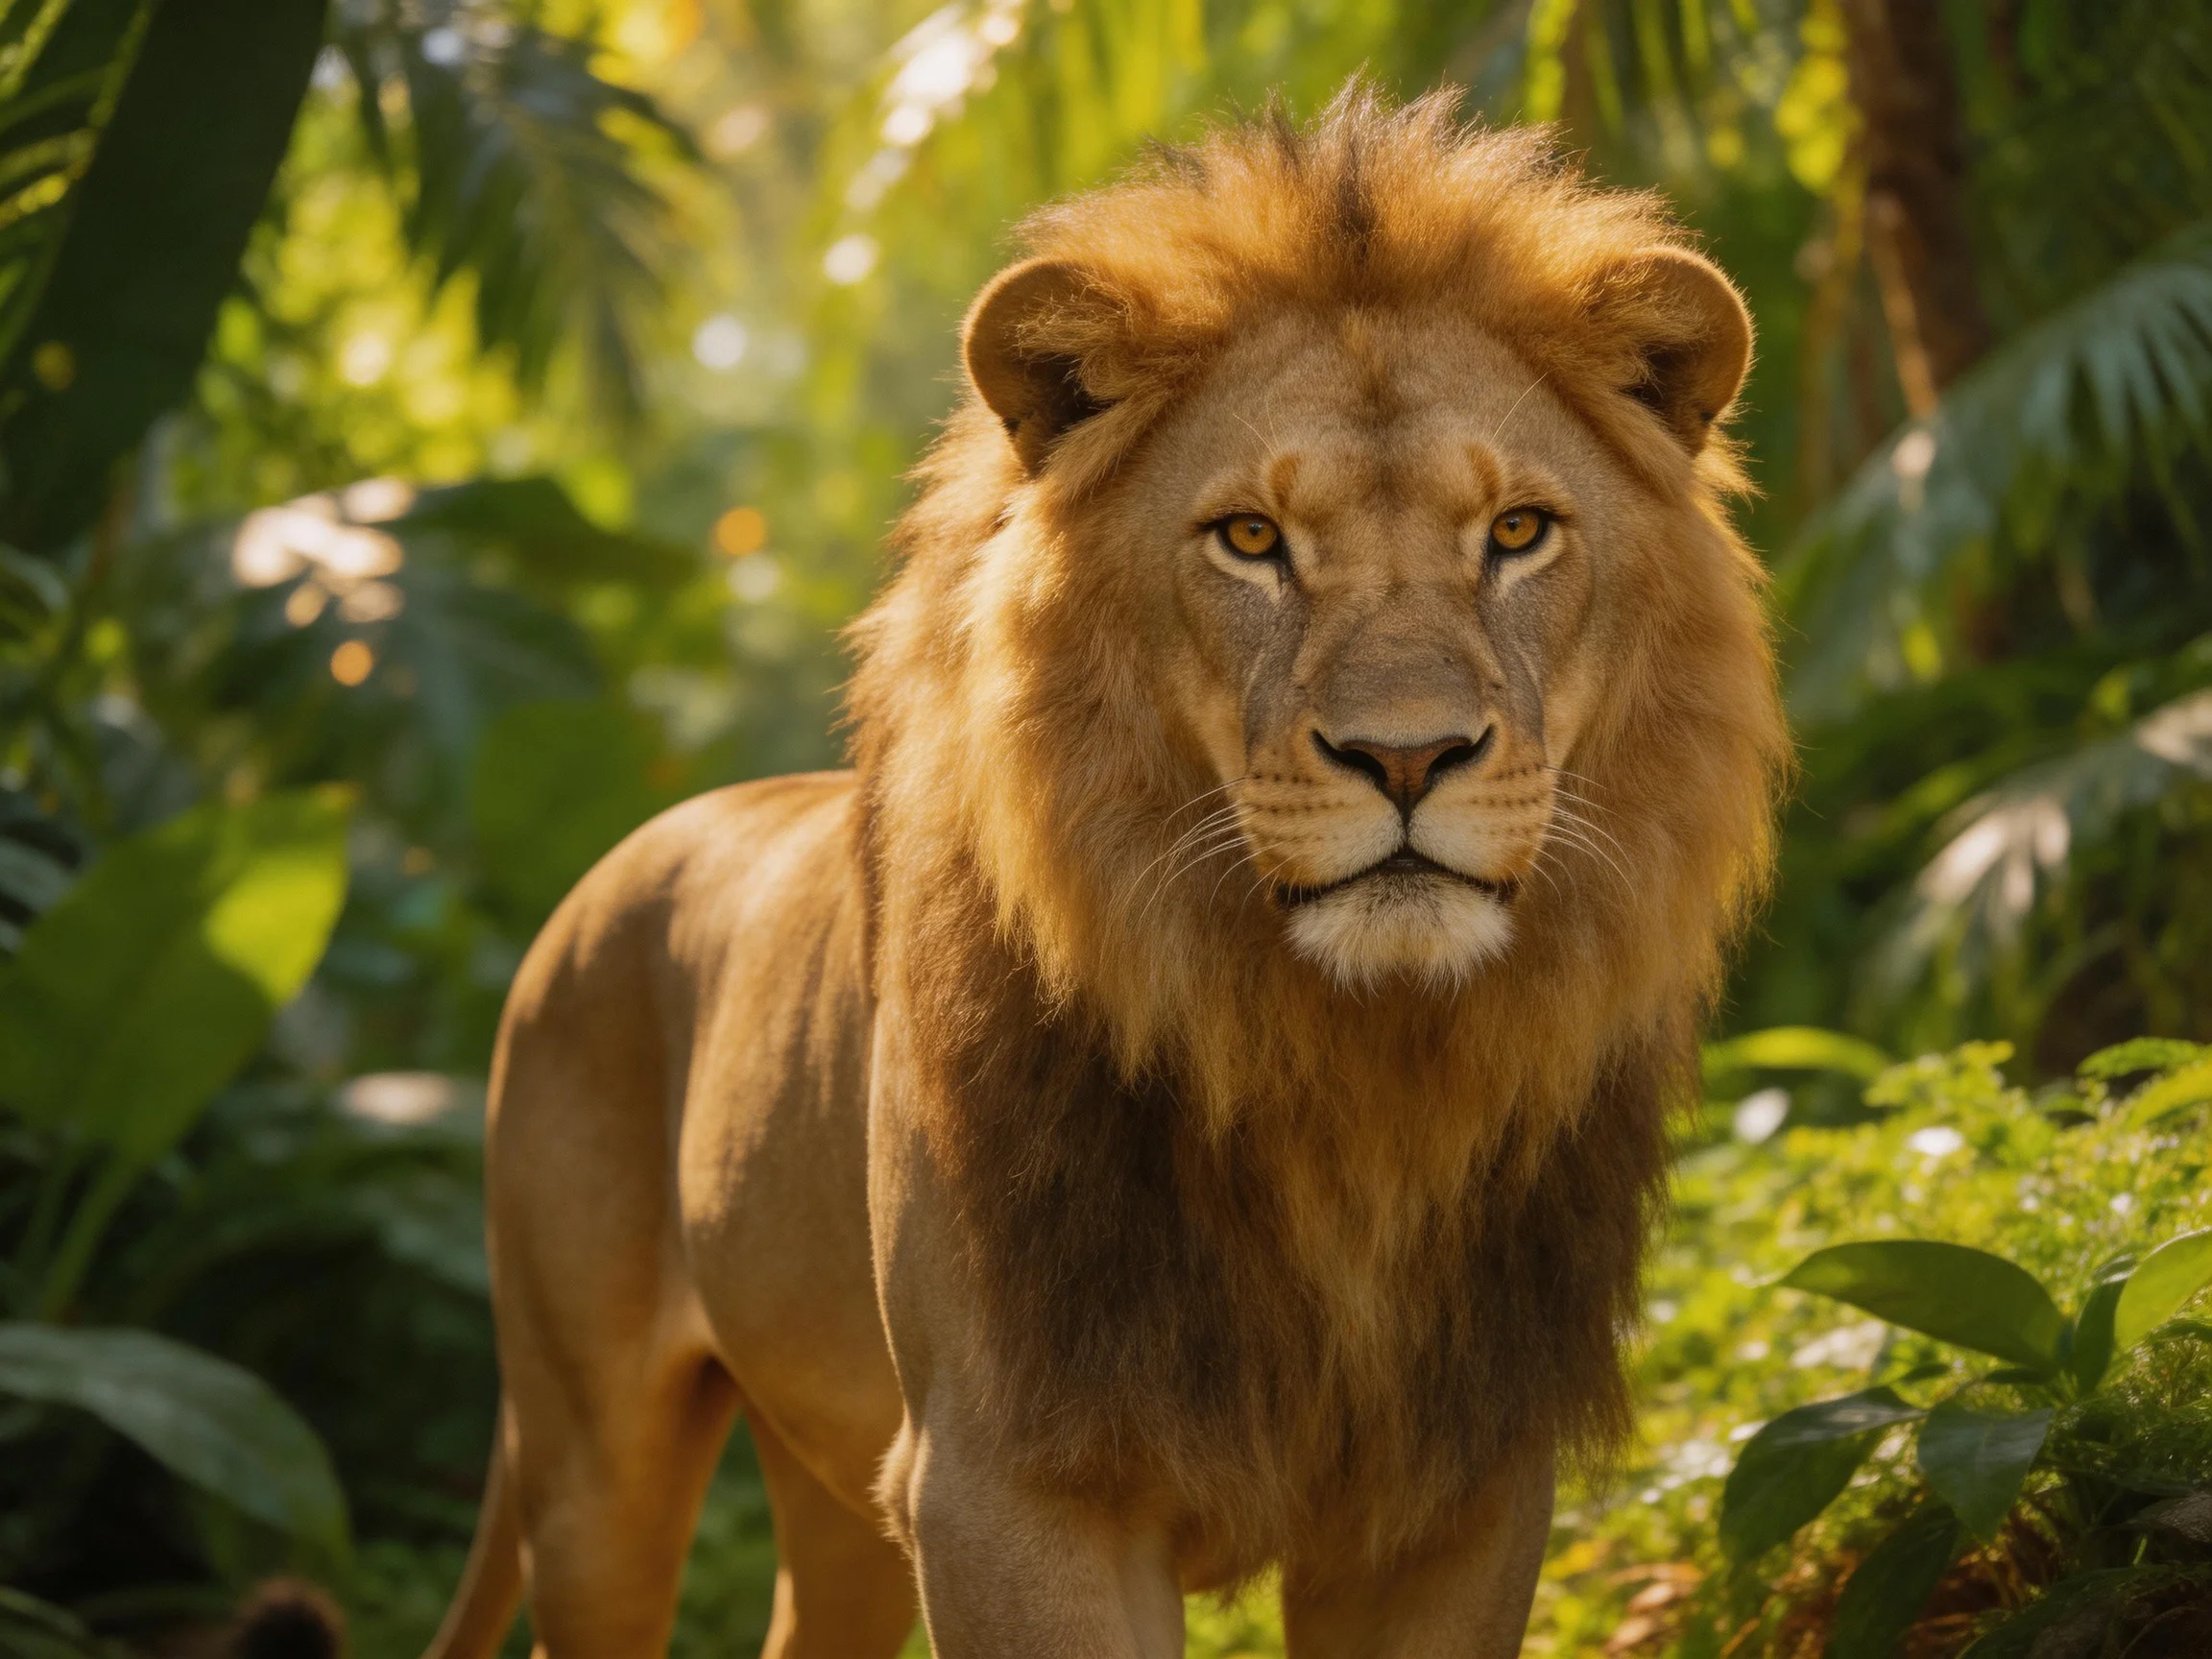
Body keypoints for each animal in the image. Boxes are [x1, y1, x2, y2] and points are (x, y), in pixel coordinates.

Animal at [423, 86, 1787, 1659]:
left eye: (1517, 533)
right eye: (1251, 539)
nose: (1408, 756)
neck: (1346, 1075)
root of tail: (625, 856)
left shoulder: (1463, 1493)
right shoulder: (1008, 1485)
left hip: (828, 1498)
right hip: (595, 1465)